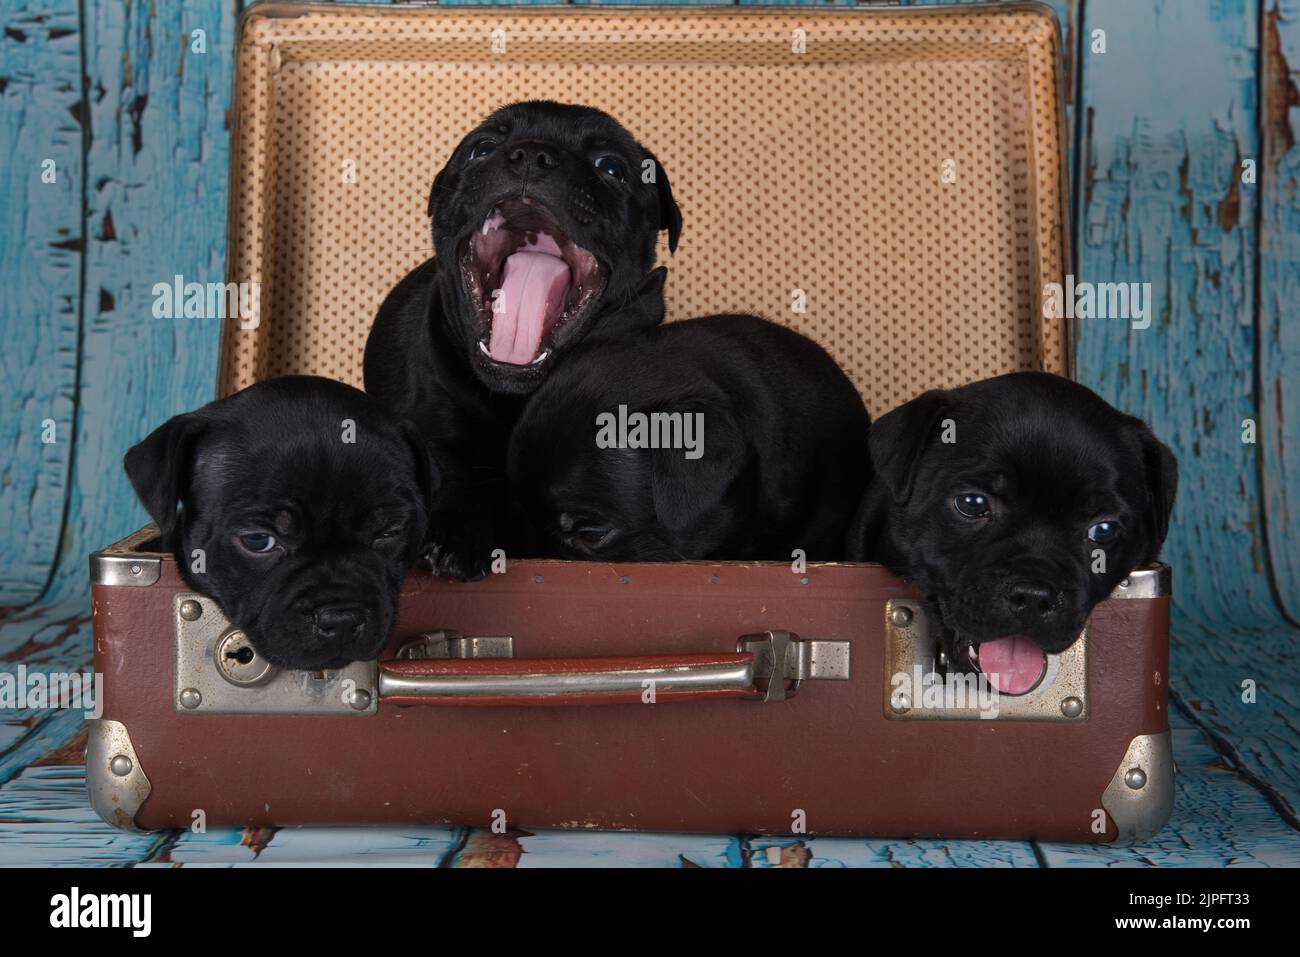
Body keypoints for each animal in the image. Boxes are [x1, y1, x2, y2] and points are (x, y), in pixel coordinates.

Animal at [364, 100, 681, 579]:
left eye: (611, 167)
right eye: (482, 148)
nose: (533, 154)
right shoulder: (434, 422)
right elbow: (450, 467)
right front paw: (457, 533)